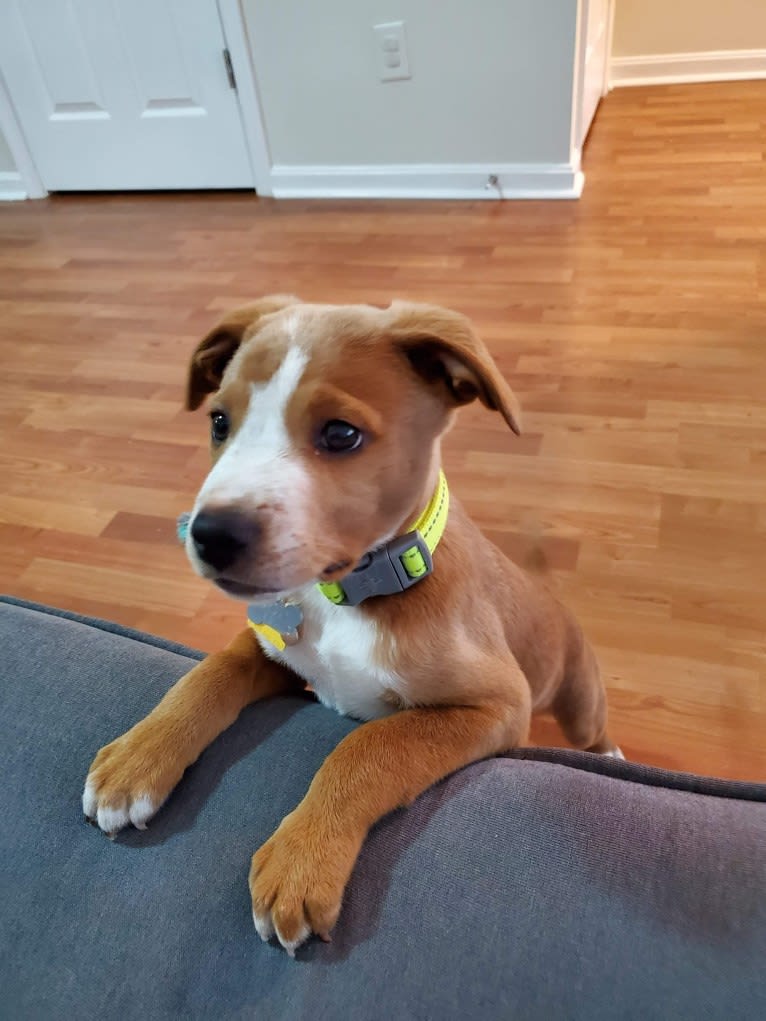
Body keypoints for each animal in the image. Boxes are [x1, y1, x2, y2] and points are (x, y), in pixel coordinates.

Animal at [83, 296, 625, 955]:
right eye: (218, 421)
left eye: (341, 434)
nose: (209, 535)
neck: (342, 599)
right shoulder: (271, 647)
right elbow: (206, 676)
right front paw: (135, 761)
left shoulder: (495, 705)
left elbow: (366, 746)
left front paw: (300, 861)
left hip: (577, 696)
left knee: (593, 730)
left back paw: (611, 756)